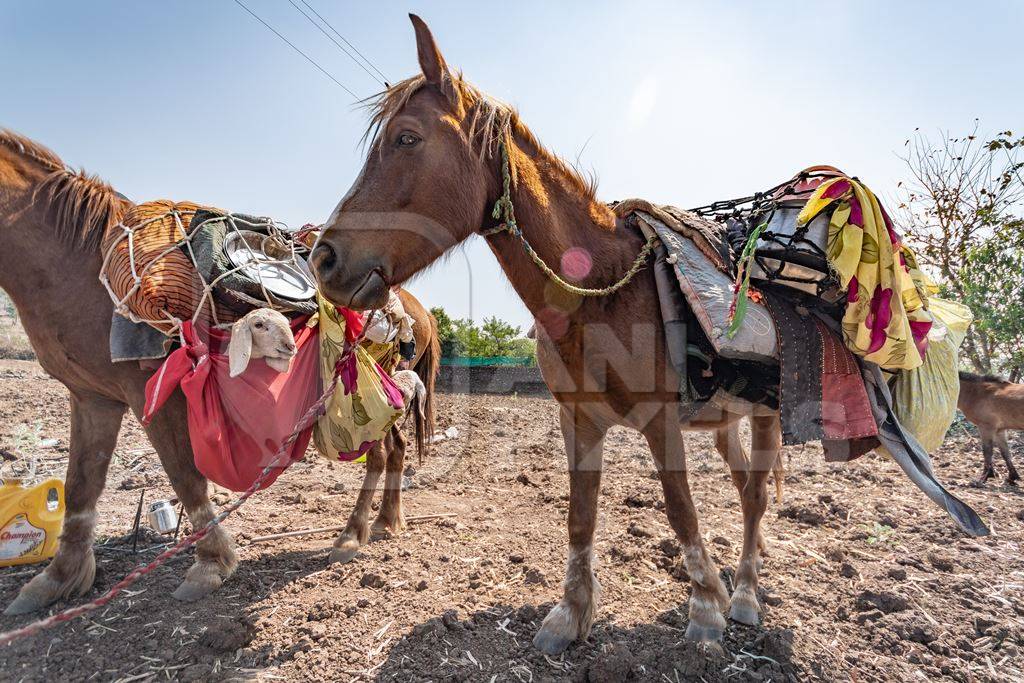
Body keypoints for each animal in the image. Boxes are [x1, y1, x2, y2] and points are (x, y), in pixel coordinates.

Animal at [0, 126, 436, 614]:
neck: (80, 261)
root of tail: (416, 309)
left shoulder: (147, 388)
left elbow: (184, 476)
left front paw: (212, 562)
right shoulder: (92, 396)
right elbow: (80, 484)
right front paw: (58, 578)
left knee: (379, 453)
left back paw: (352, 534)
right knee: (395, 449)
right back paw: (385, 522)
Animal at [311, 15, 782, 655]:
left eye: (407, 138)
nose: (324, 258)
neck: (603, 289)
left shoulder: (660, 419)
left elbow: (680, 508)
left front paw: (706, 609)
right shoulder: (577, 420)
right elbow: (580, 516)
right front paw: (570, 614)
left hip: (764, 413)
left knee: (754, 496)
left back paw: (746, 596)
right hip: (723, 419)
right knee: (743, 487)